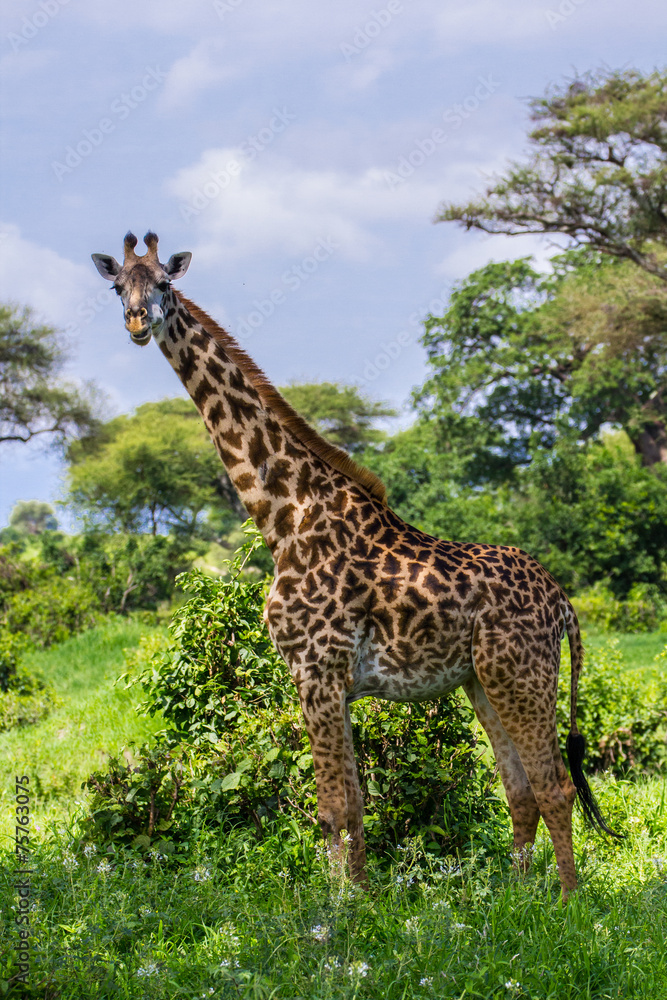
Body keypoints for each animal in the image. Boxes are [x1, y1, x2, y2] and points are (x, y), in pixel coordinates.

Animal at [92, 232, 620, 899]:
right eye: (118, 287)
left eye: (164, 283)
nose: (138, 321)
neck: (284, 516)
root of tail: (564, 603)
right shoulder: (330, 682)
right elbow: (351, 805)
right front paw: (359, 897)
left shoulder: (315, 670)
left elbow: (332, 807)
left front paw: (339, 906)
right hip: (481, 681)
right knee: (520, 788)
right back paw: (515, 897)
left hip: (521, 674)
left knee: (554, 786)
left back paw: (568, 903)